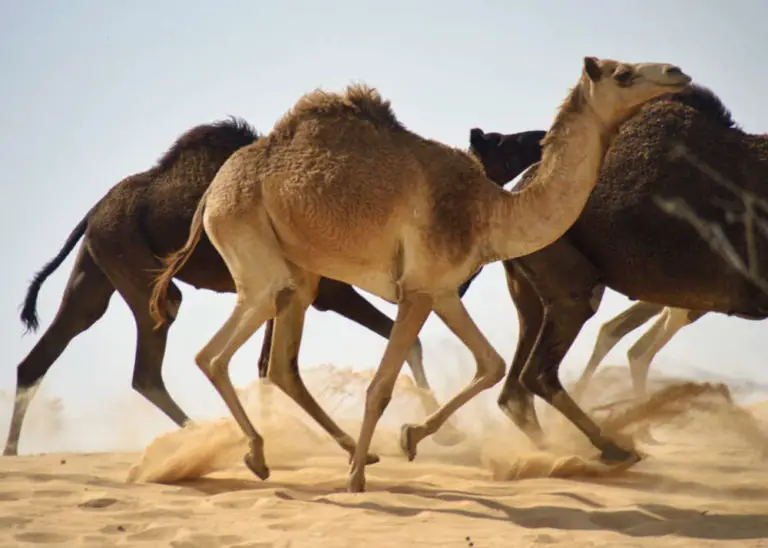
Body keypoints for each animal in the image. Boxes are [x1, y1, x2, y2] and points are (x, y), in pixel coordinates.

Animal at [6, 114, 544, 454]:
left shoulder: (294, 290)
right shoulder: (332, 291)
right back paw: (206, 438)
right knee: (147, 366)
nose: (541, 136)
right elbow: (406, 344)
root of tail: (93, 211)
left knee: (48, 349)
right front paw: (443, 436)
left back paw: (13, 452)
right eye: (504, 140)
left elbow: (268, 364)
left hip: (96, 268)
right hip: (139, 271)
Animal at [148, 56, 688, 492]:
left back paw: (336, 451)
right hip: (253, 253)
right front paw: (357, 480)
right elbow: (382, 386)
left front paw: (409, 439)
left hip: (299, 277)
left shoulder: (441, 289)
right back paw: (263, 455)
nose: (676, 72)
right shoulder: (417, 290)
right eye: (622, 73)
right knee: (212, 355)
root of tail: (213, 192)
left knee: (280, 364)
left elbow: (490, 364)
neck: (492, 212)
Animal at [468, 83, 768, 464]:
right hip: (573, 282)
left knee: (516, 387)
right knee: (539, 372)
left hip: (529, 289)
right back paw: (612, 447)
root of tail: (518, 192)